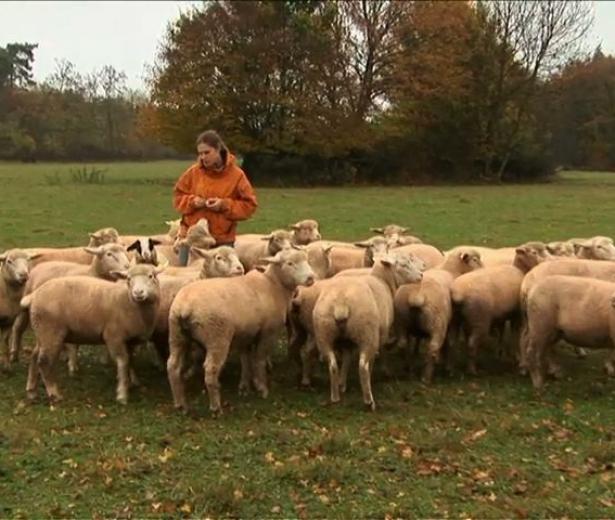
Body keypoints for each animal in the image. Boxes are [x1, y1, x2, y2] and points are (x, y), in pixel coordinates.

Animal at [24, 264, 165, 406]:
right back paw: (54, 394)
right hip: (51, 331)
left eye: (151, 276)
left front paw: (133, 381)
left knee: (34, 357)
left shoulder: (130, 340)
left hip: (41, 331)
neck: (128, 301)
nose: (138, 293)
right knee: (44, 362)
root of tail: (34, 295)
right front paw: (122, 394)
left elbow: (131, 360)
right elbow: (123, 361)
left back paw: (31, 391)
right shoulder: (114, 336)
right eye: (128, 279)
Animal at [166, 248, 316, 414]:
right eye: (290, 263)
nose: (311, 278)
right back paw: (216, 407)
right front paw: (261, 387)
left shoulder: (246, 333)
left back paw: (180, 404)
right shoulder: (268, 333)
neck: (273, 286)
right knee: (210, 369)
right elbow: (259, 359)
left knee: (173, 366)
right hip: (217, 337)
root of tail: (185, 306)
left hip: (176, 334)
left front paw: (245, 386)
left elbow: (245, 359)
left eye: (307, 260)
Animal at [312, 252, 424, 410]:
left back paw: (335, 397)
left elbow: (346, 359)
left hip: (324, 334)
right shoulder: (381, 335)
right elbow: (377, 356)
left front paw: (342, 383)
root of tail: (341, 303)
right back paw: (369, 400)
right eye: (404, 264)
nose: (421, 275)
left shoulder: (347, 342)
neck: (382, 281)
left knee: (332, 365)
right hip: (367, 334)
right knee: (363, 366)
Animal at [394, 248, 486, 382]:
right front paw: (448, 367)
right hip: (437, 324)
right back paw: (426, 377)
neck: (451, 271)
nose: (484, 270)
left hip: (401, 322)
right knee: (432, 347)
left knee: (403, 344)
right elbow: (450, 342)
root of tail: (416, 296)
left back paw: (407, 369)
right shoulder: (452, 321)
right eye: (475, 260)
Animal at [450, 242, 552, 376]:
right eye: (534, 252)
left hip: (457, 320)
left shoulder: (501, 314)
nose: (549, 261)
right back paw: (472, 369)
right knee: (472, 344)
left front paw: (500, 352)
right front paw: (517, 356)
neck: (521, 271)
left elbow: (501, 332)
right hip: (480, 320)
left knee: (453, 342)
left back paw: (451, 367)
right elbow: (516, 336)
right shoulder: (517, 316)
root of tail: (458, 294)